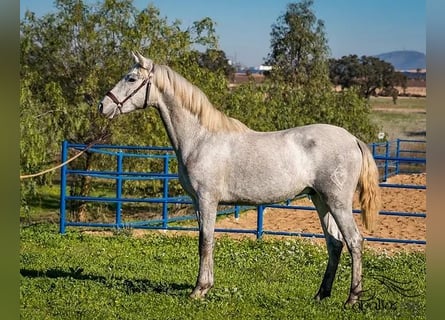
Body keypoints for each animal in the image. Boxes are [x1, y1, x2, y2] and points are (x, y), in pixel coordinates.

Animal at [99, 52, 380, 304]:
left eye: (131, 78)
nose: (103, 105)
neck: (200, 138)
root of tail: (353, 139)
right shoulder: (198, 202)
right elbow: (205, 240)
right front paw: (206, 287)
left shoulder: (207, 200)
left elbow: (206, 241)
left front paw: (199, 290)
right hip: (320, 201)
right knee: (334, 244)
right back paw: (321, 295)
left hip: (338, 203)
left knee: (354, 241)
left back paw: (352, 298)